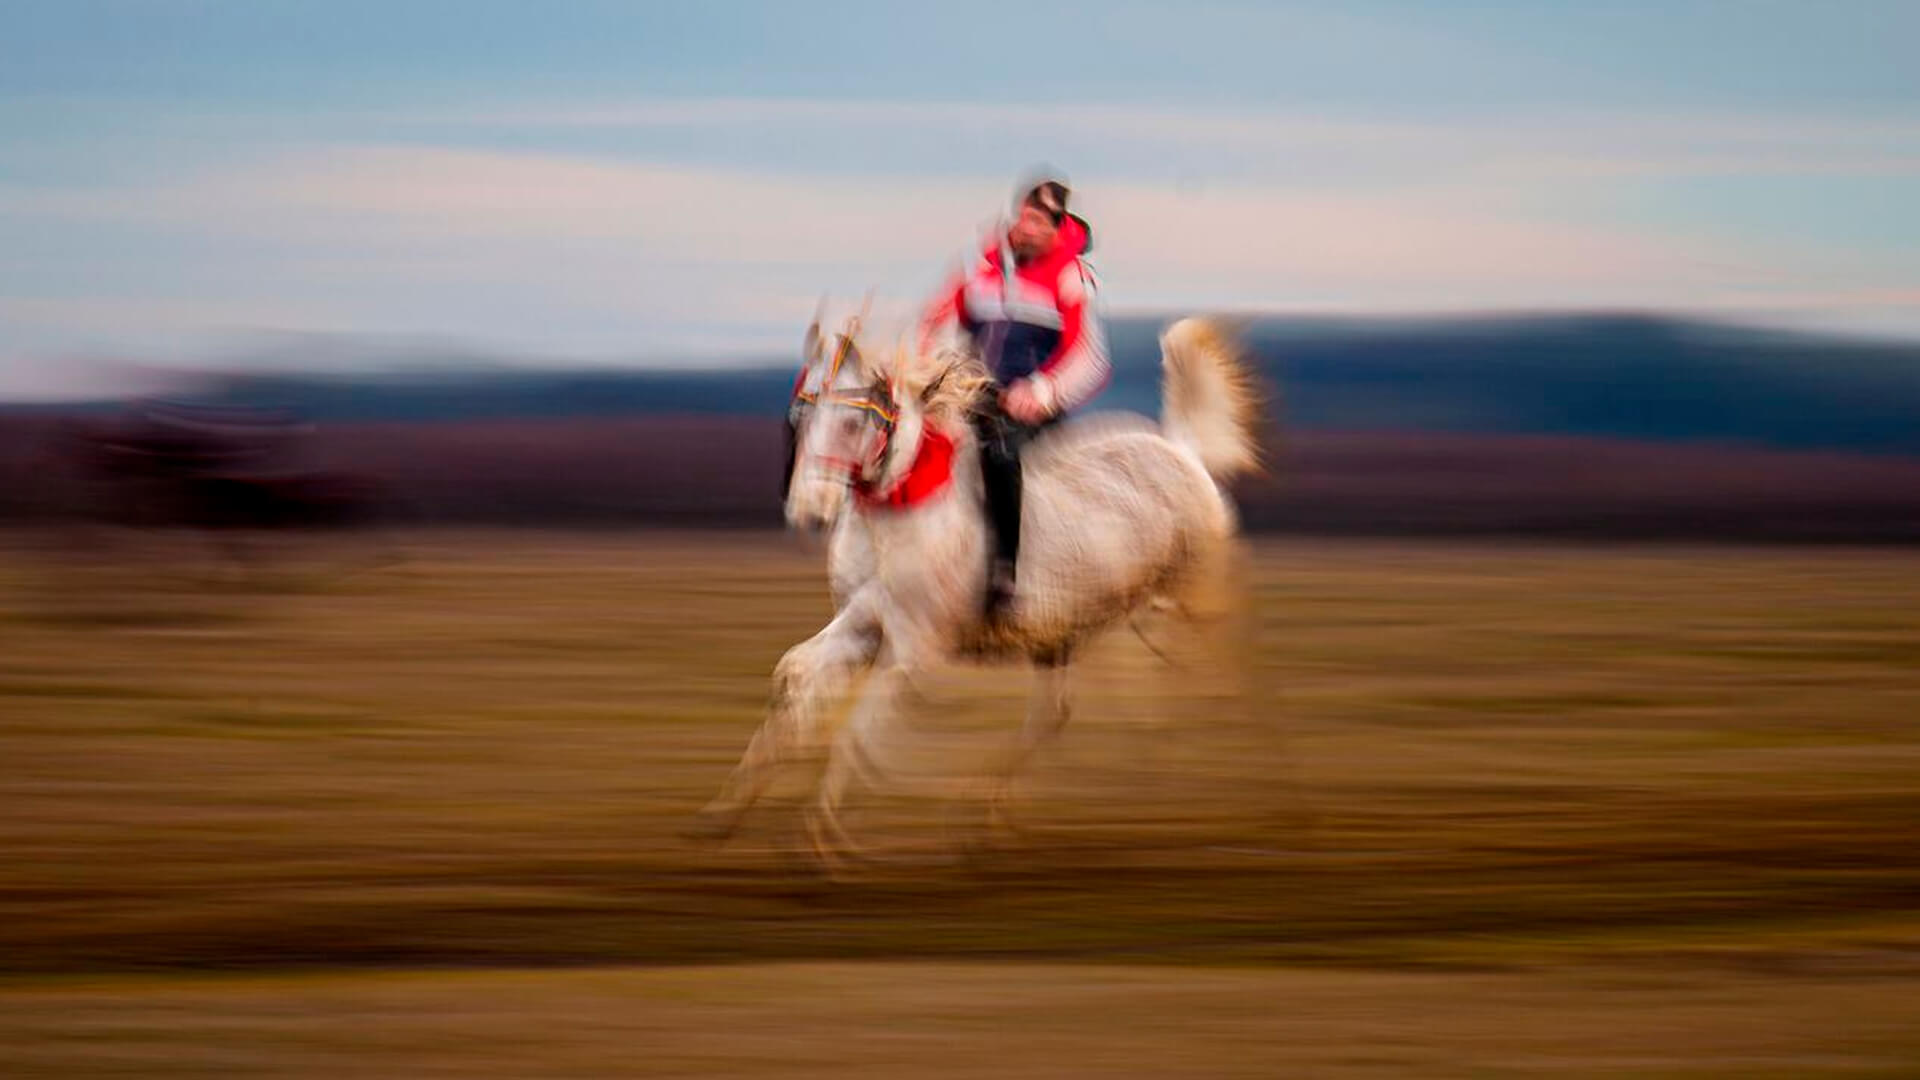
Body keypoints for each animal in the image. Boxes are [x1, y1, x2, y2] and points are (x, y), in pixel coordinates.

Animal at [691, 315, 1259, 860]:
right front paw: (726, 811)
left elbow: (857, 733)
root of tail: (1184, 454)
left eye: (852, 423)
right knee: (1055, 715)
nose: (809, 512)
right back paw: (979, 818)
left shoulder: (912, 651)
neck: (900, 511)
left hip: (1186, 608)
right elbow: (793, 676)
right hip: (1064, 637)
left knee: (1219, 681)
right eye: (802, 419)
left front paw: (820, 837)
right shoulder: (863, 624)